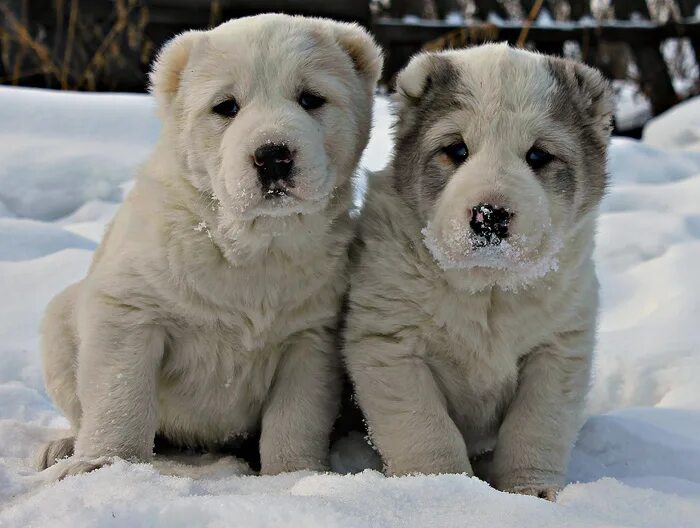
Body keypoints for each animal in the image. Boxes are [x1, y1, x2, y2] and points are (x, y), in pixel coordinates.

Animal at [344, 44, 612, 500]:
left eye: (538, 156)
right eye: (456, 151)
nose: (490, 214)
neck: (490, 290)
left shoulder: (557, 351)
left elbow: (535, 427)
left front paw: (532, 493)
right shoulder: (390, 347)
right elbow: (426, 430)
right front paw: (444, 486)